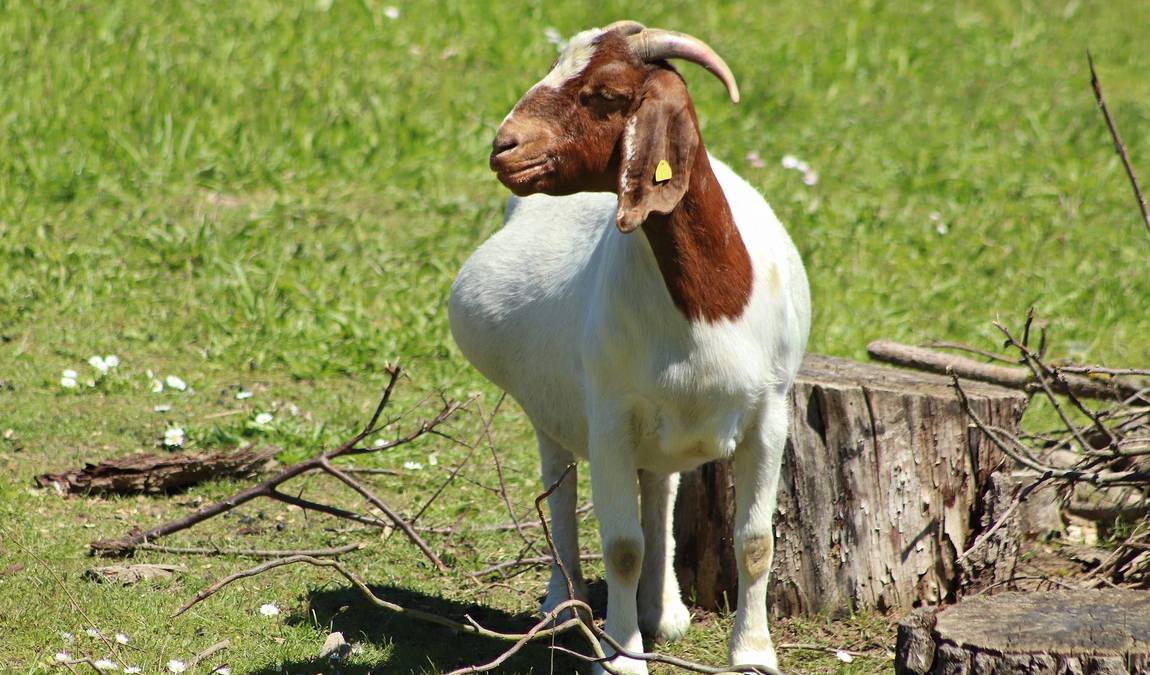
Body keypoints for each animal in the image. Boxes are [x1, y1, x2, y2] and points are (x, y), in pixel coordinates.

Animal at [449, 21, 810, 674]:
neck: (711, 307)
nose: (504, 146)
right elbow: (620, 547)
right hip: (551, 409)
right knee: (560, 488)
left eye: (607, 93)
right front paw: (620, 656)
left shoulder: (772, 411)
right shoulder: (610, 415)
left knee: (660, 488)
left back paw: (662, 611)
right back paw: (561, 606)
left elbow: (754, 541)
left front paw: (752, 654)